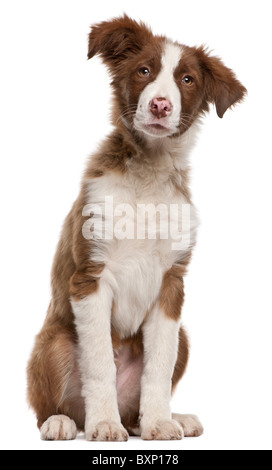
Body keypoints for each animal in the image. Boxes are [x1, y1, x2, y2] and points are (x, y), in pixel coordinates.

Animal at [27, 14, 246, 440]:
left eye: (187, 80)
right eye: (144, 71)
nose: (161, 105)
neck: (149, 172)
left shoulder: (171, 285)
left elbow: (158, 367)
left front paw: (159, 422)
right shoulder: (90, 276)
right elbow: (99, 365)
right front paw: (104, 424)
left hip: (185, 336)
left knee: (138, 401)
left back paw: (165, 419)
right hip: (54, 341)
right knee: (54, 403)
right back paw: (64, 422)